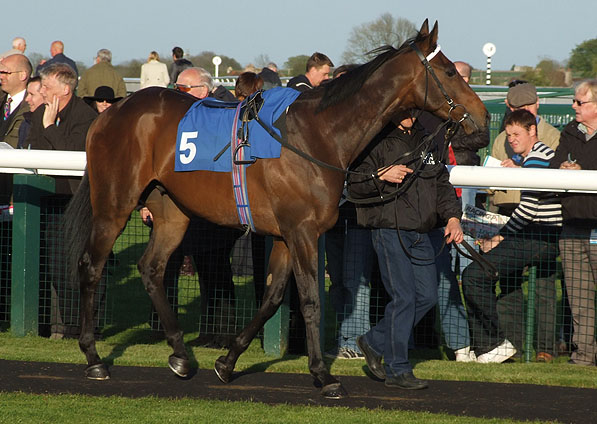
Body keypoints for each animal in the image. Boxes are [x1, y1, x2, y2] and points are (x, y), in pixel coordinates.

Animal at [62, 19, 486, 398]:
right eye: (449, 71)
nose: (482, 118)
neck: (319, 135)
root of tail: (109, 114)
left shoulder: (286, 234)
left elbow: (272, 299)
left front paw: (227, 362)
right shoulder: (302, 232)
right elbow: (311, 300)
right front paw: (324, 376)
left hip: (171, 211)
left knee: (151, 268)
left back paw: (181, 356)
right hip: (114, 205)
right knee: (90, 267)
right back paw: (94, 358)